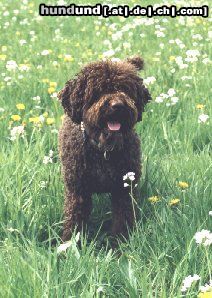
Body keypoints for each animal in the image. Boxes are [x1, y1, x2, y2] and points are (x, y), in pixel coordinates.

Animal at [58, 57, 151, 241]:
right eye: (98, 91)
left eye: (125, 89)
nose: (117, 105)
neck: (103, 151)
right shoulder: (78, 192)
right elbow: (75, 220)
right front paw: (70, 244)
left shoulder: (124, 190)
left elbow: (123, 218)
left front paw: (120, 244)